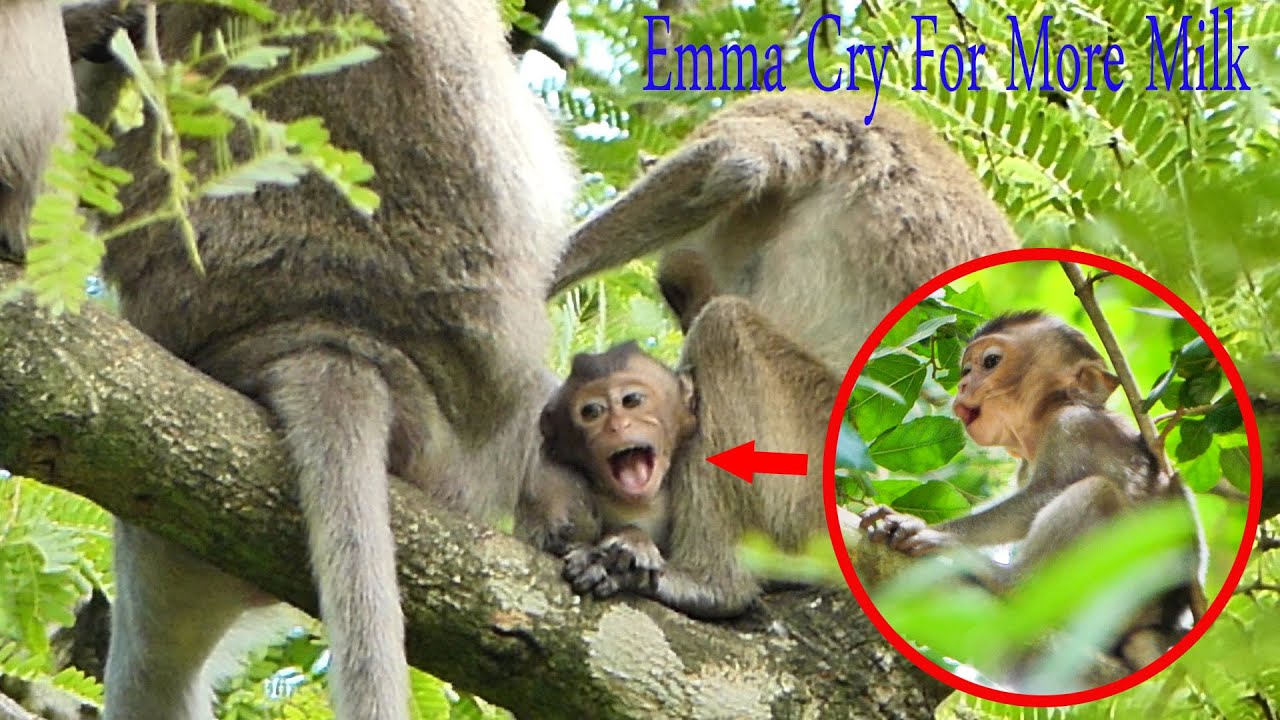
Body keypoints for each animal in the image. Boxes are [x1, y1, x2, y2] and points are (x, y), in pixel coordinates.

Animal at [859, 311, 1206, 682]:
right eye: (966, 370)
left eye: (990, 362)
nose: (963, 385)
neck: (1043, 419)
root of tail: (1156, 623)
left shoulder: (1072, 426)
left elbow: (1040, 497)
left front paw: (929, 530)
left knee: (1097, 493)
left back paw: (1010, 582)